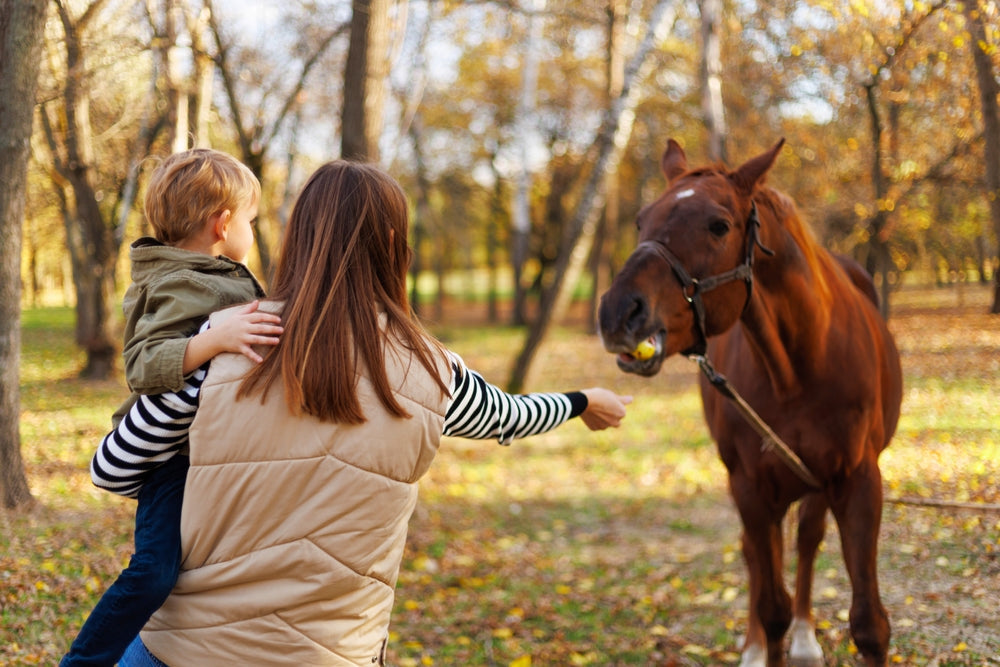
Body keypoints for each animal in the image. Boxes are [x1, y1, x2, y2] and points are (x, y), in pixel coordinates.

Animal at [597, 139, 903, 667]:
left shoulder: (859, 480)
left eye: (719, 225)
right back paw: (756, 646)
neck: (799, 368)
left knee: (806, 540)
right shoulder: (751, 487)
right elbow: (770, 603)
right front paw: (765, 642)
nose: (619, 312)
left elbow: (869, 624)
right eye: (640, 220)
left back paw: (805, 638)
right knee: (756, 560)